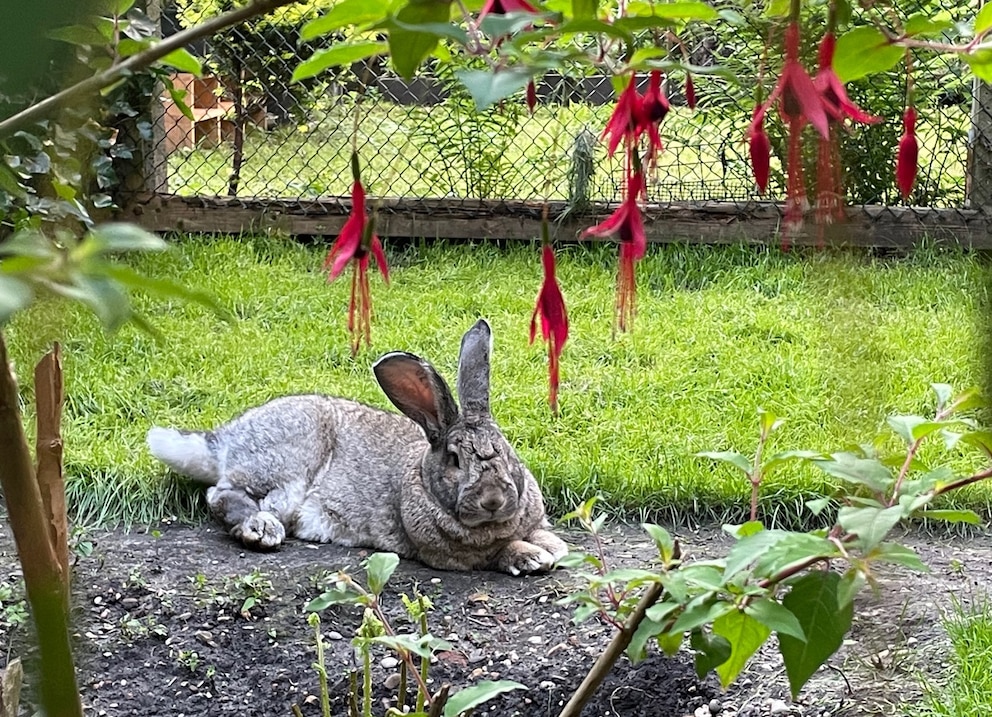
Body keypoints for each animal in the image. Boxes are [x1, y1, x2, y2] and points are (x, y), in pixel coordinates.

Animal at [146, 322, 564, 572]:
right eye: (455, 459)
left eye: (506, 450)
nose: (493, 499)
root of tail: (222, 440)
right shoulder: (450, 554)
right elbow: (496, 553)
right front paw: (531, 557)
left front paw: (552, 547)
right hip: (289, 464)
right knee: (222, 494)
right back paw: (261, 528)